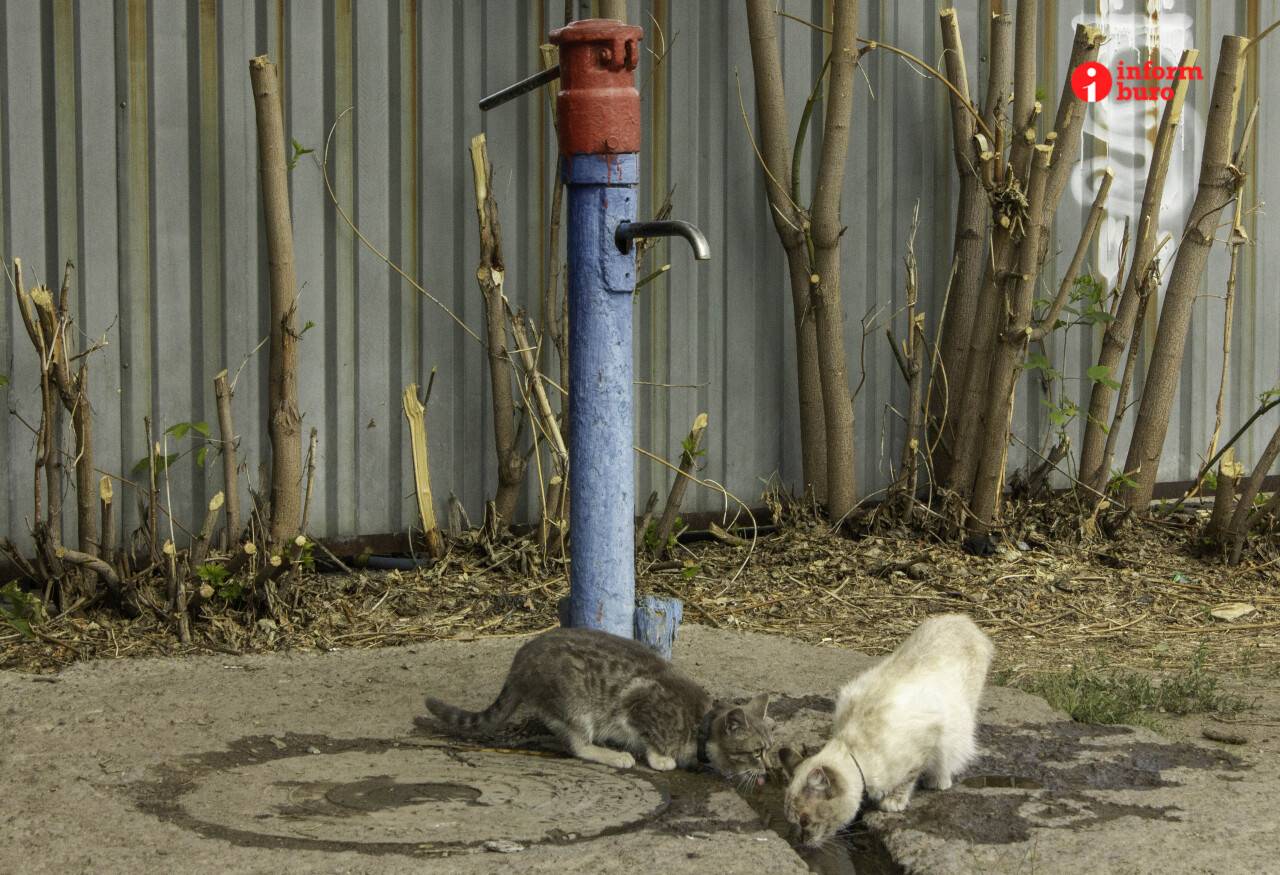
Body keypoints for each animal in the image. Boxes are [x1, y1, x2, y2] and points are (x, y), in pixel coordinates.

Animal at [773, 611, 993, 844]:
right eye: (790, 821)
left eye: (805, 821)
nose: (797, 841)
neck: (853, 750)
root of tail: (961, 617)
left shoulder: (926, 741)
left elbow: (908, 780)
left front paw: (893, 802)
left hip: (964, 711)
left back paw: (940, 780)